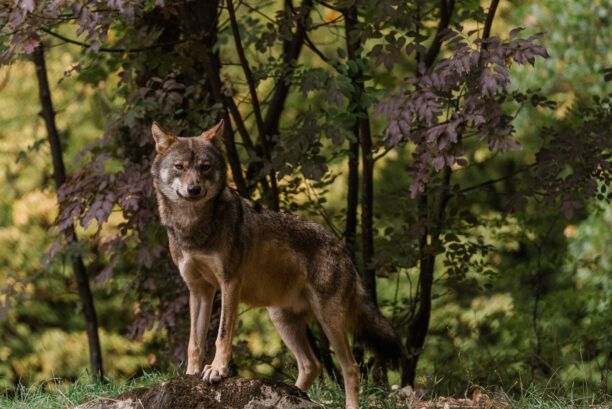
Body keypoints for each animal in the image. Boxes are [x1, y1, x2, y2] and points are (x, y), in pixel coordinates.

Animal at [150, 119, 404, 406]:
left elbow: (222, 335)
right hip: (282, 319)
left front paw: (217, 370)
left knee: (350, 368)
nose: (194, 189)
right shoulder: (198, 290)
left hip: (328, 319)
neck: (192, 228)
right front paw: (190, 376)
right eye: (180, 166)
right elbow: (194, 342)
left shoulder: (229, 283)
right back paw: (293, 395)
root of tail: (343, 249)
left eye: (205, 167)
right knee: (312, 365)